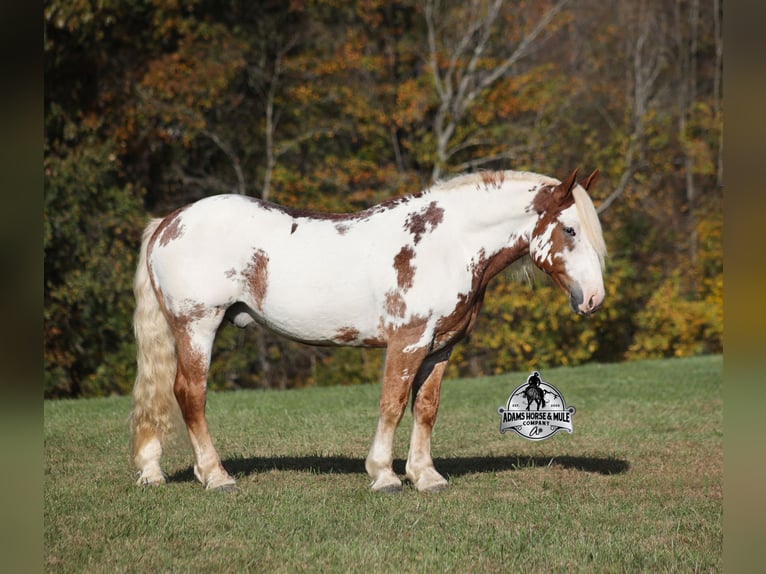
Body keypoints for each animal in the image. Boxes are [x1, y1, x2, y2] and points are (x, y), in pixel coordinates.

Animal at [130, 168, 607, 493]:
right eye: (569, 229)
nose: (593, 299)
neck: (448, 245)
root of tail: (170, 221)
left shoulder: (440, 349)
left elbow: (425, 409)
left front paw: (425, 476)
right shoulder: (408, 341)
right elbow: (393, 404)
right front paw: (385, 475)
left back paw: (154, 470)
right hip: (198, 327)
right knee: (190, 394)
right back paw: (216, 476)